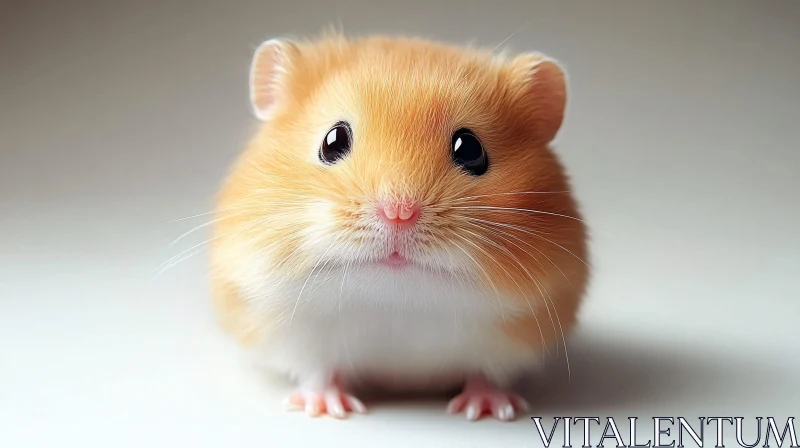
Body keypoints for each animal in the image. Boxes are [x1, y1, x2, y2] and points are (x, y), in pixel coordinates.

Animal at [209, 33, 589, 421]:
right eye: (332, 141)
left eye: (470, 149)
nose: (398, 212)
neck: (394, 305)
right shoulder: (292, 333)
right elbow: (318, 371)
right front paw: (329, 409)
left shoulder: (512, 337)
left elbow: (486, 374)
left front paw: (489, 410)